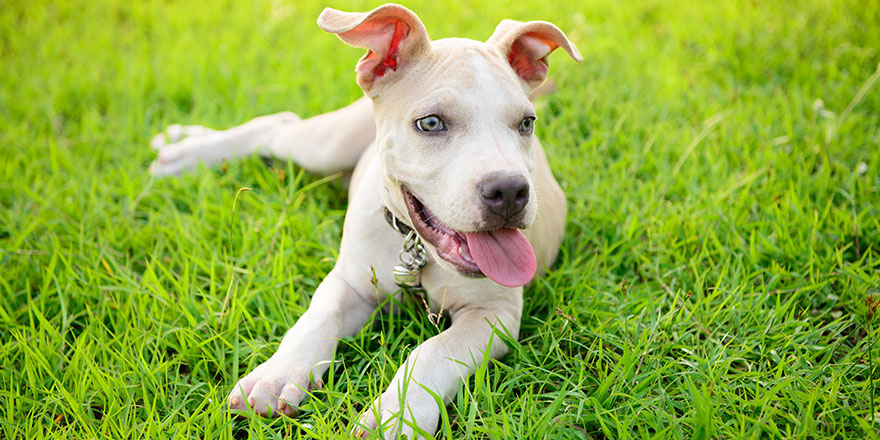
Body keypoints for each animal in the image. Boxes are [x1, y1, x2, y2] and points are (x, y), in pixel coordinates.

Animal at [149, 5, 580, 438]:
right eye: (430, 123)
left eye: (526, 123)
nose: (509, 190)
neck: (415, 250)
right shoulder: (349, 282)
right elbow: (316, 318)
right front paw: (277, 374)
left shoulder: (494, 314)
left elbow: (432, 351)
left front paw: (397, 413)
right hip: (326, 144)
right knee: (276, 125)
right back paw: (185, 149)